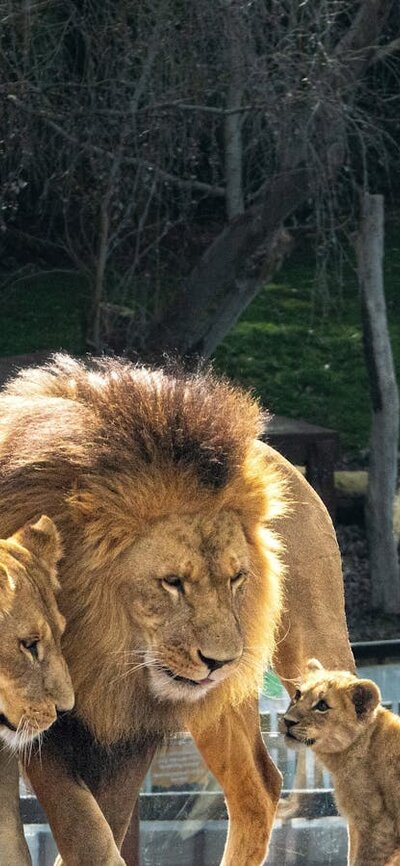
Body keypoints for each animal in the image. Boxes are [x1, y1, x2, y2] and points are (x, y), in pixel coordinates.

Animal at [0, 354, 354, 866]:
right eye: (172, 583)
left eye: (236, 579)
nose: (221, 661)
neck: (102, 652)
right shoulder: (49, 716)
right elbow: (85, 823)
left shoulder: (131, 724)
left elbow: (102, 825)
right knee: (259, 785)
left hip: (311, 650)